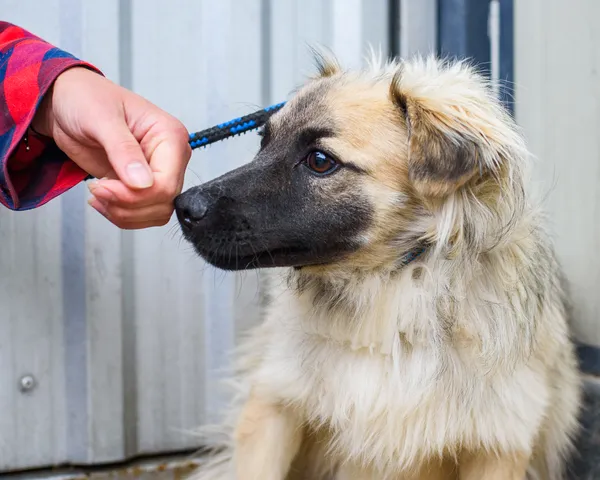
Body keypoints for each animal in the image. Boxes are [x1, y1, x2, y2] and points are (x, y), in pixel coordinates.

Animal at [173, 52, 580, 480]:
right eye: (264, 142)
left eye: (320, 161)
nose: (184, 206)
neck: (390, 291)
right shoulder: (273, 404)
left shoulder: (499, 443)